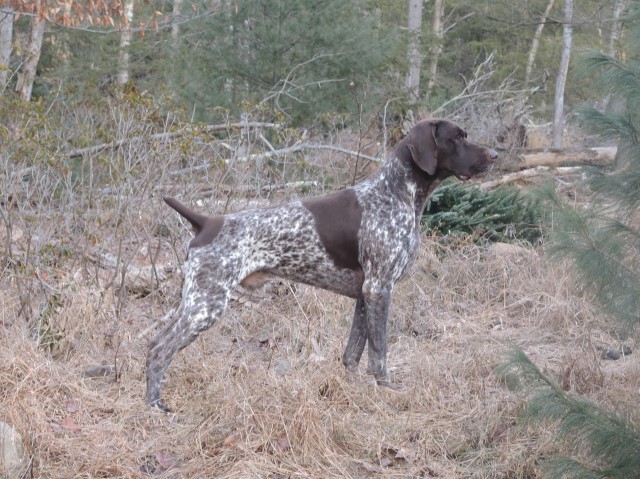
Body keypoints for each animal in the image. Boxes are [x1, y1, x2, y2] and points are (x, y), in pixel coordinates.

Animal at [148, 118, 498, 410]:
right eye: (457, 138)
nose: (495, 155)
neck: (396, 193)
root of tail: (206, 222)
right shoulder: (380, 288)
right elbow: (379, 352)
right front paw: (386, 390)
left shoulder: (365, 294)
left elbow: (353, 352)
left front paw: (353, 388)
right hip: (207, 305)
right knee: (159, 351)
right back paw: (156, 407)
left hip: (194, 301)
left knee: (154, 343)